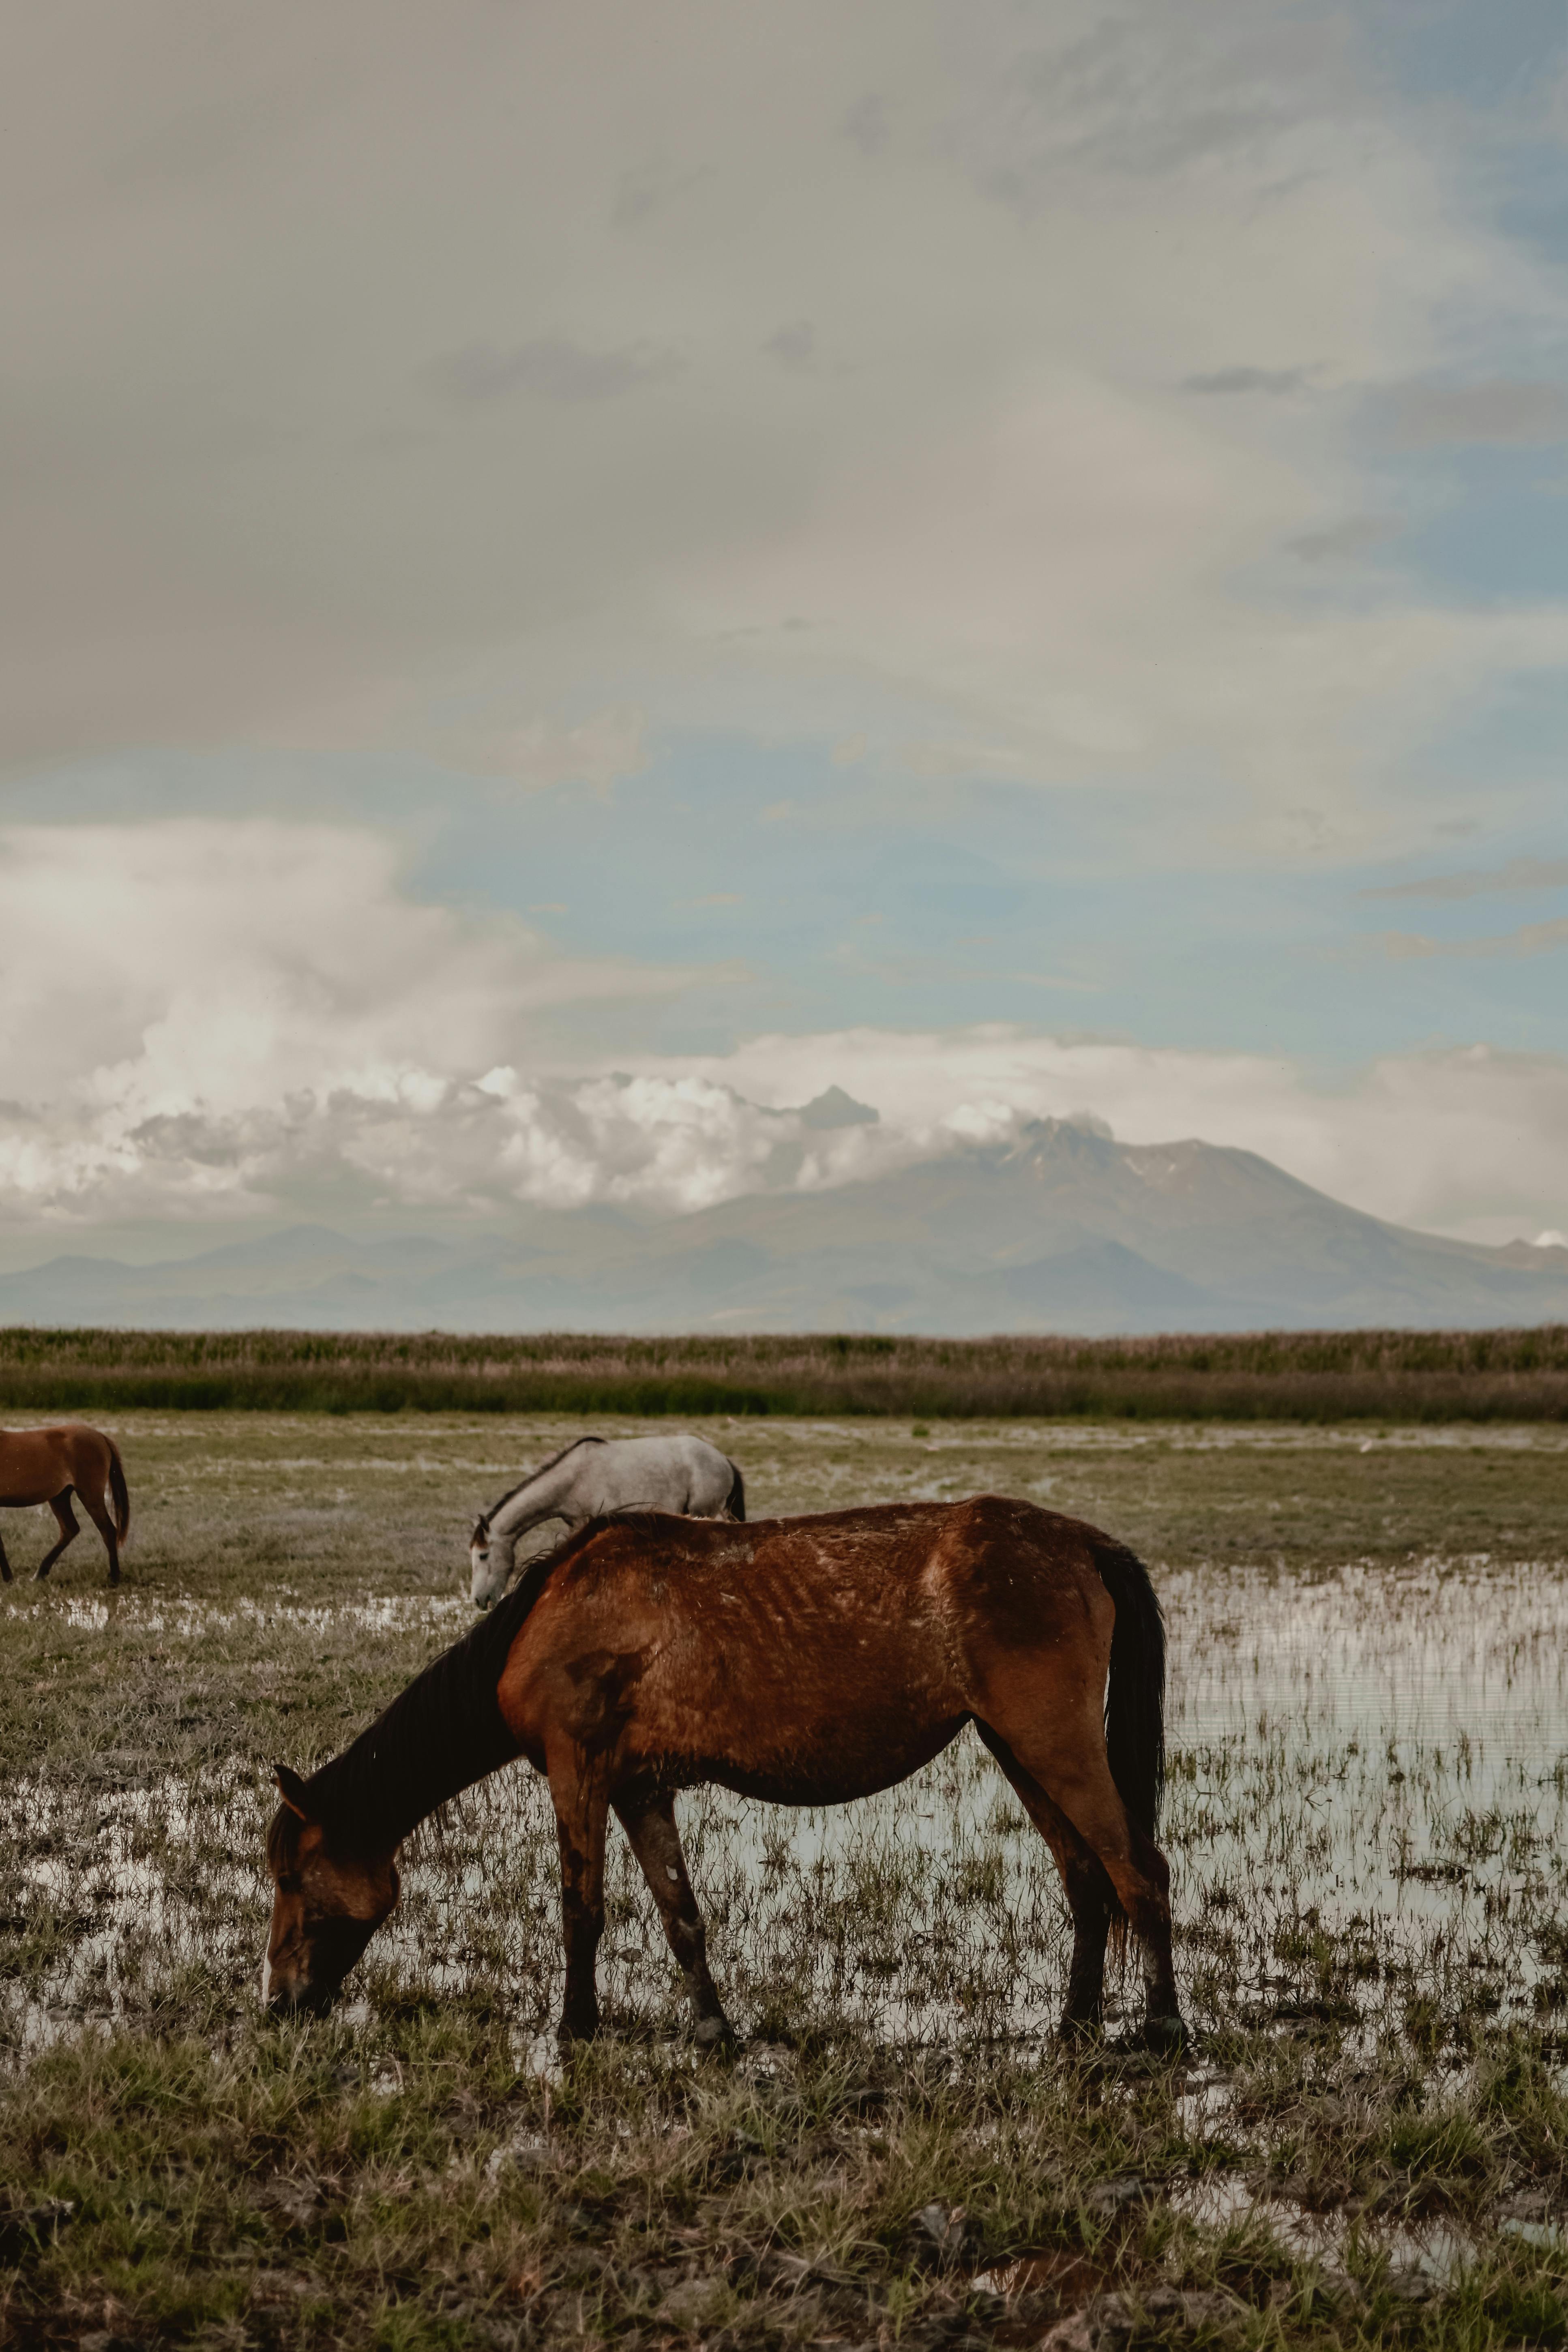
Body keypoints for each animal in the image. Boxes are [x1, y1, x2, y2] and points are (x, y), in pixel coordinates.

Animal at [0, 1423, 131, 1586]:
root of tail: (101, 1437)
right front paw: (9, 1579)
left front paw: (8, 1579)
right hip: (60, 1497)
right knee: (70, 1529)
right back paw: (40, 1574)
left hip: (90, 1495)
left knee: (107, 1530)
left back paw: (114, 1579)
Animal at [265, 1495, 1185, 2051]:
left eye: (291, 1876)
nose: (279, 2001)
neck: (551, 1615)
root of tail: (1082, 1541)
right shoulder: (639, 1788)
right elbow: (681, 1915)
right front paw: (712, 2028)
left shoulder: (576, 1772)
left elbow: (579, 1910)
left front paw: (574, 2027)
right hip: (1017, 1748)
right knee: (1085, 1878)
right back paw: (1073, 2023)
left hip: (1055, 1744)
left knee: (1137, 1871)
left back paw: (1164, 2026)